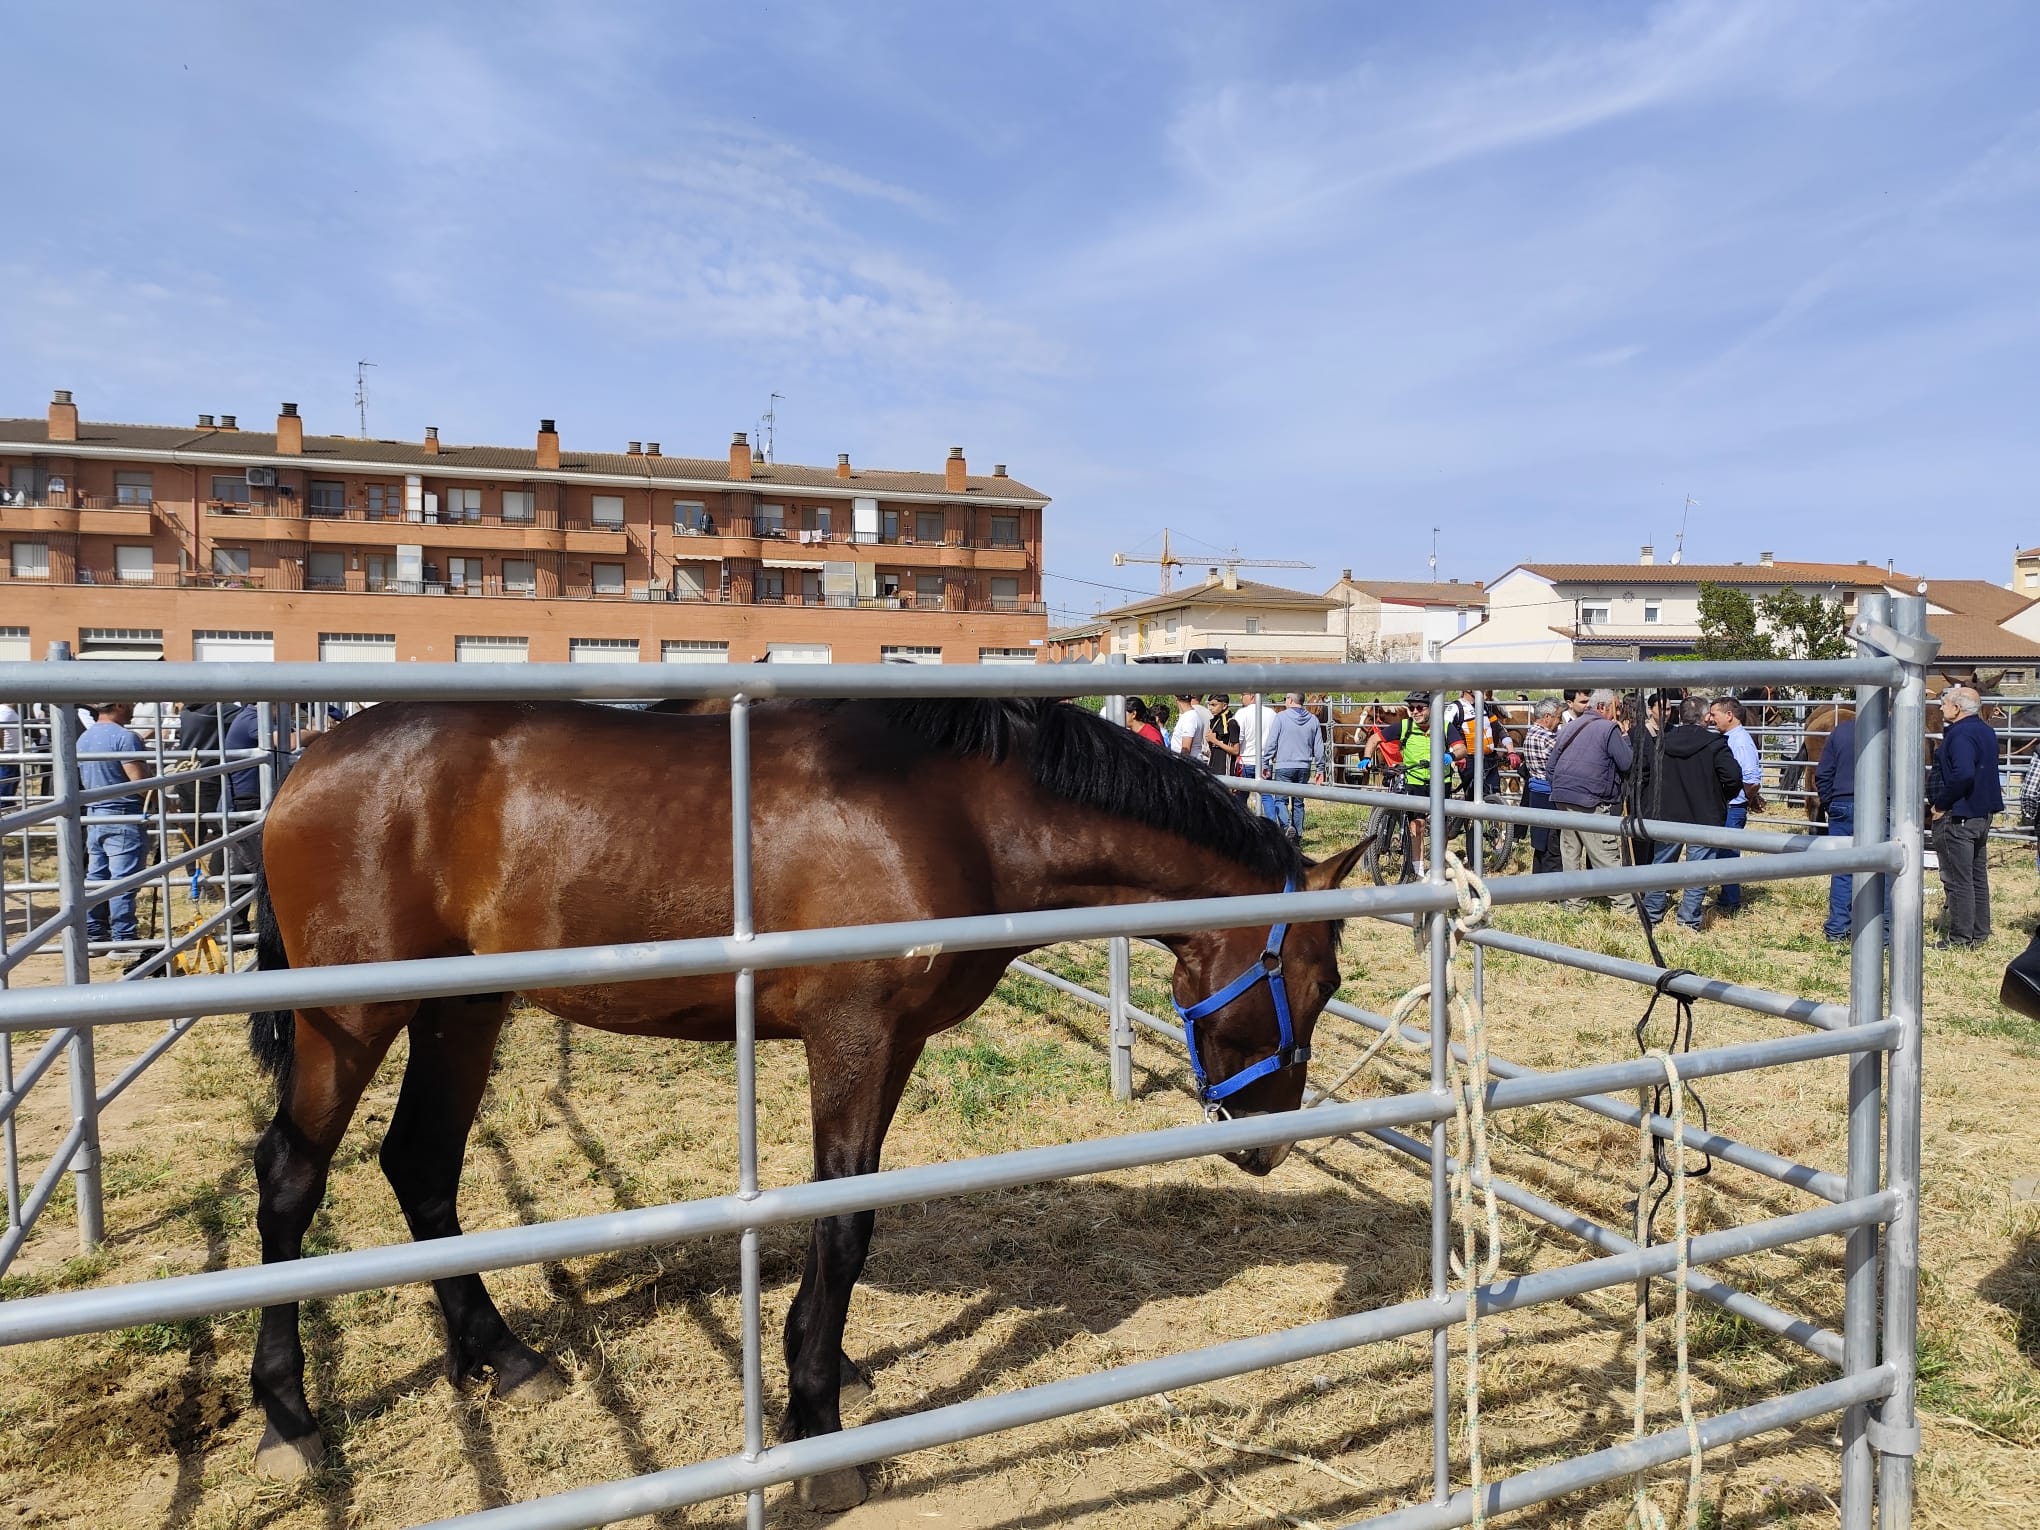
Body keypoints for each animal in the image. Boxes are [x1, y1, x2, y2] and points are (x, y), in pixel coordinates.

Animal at [242, 696, 1365, 1509]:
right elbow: (839, 1220)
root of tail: (309, 763)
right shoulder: (853, 1039)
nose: (1268, 1140)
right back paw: (290, 1416)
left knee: (421, 1164)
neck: (955, 811)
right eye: (1318, 982)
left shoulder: (895, 1046)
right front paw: (817, 1430)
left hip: (462, 1012)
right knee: (293, 1173)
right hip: (352, 1018)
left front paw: (824, 1372)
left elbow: (850, 1215)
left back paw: (503, 1357)